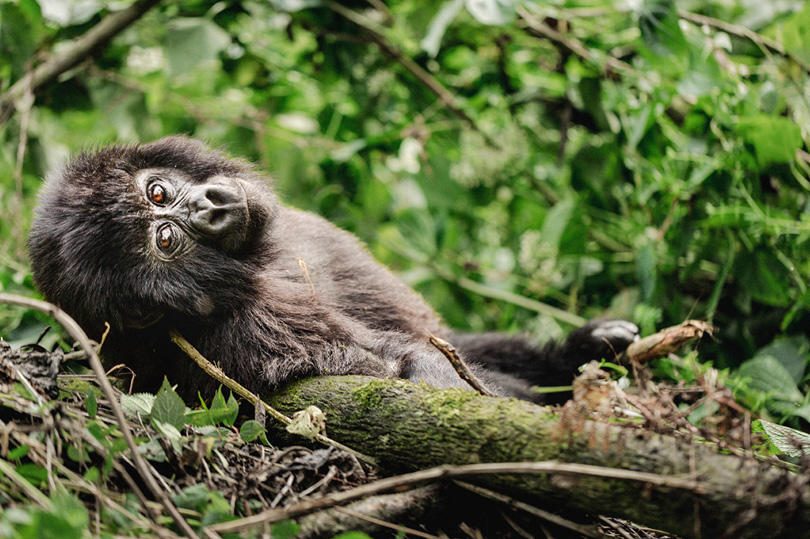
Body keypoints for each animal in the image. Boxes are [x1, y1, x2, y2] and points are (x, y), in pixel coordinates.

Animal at [28, 136, 638, 403]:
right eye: (166, 239)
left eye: (157, 192)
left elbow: (440, 339)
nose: (209, 207)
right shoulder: (235, 333)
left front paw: (581, 349)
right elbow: (395, 368)